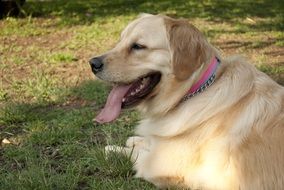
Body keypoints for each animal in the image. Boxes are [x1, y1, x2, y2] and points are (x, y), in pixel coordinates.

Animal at [89, 14, 284, 189]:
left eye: (138, 46)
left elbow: (133, 152)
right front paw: (137, 139)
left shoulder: (156, 164)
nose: (93, 63)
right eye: (120, 41)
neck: (196, 91)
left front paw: (114, 149)